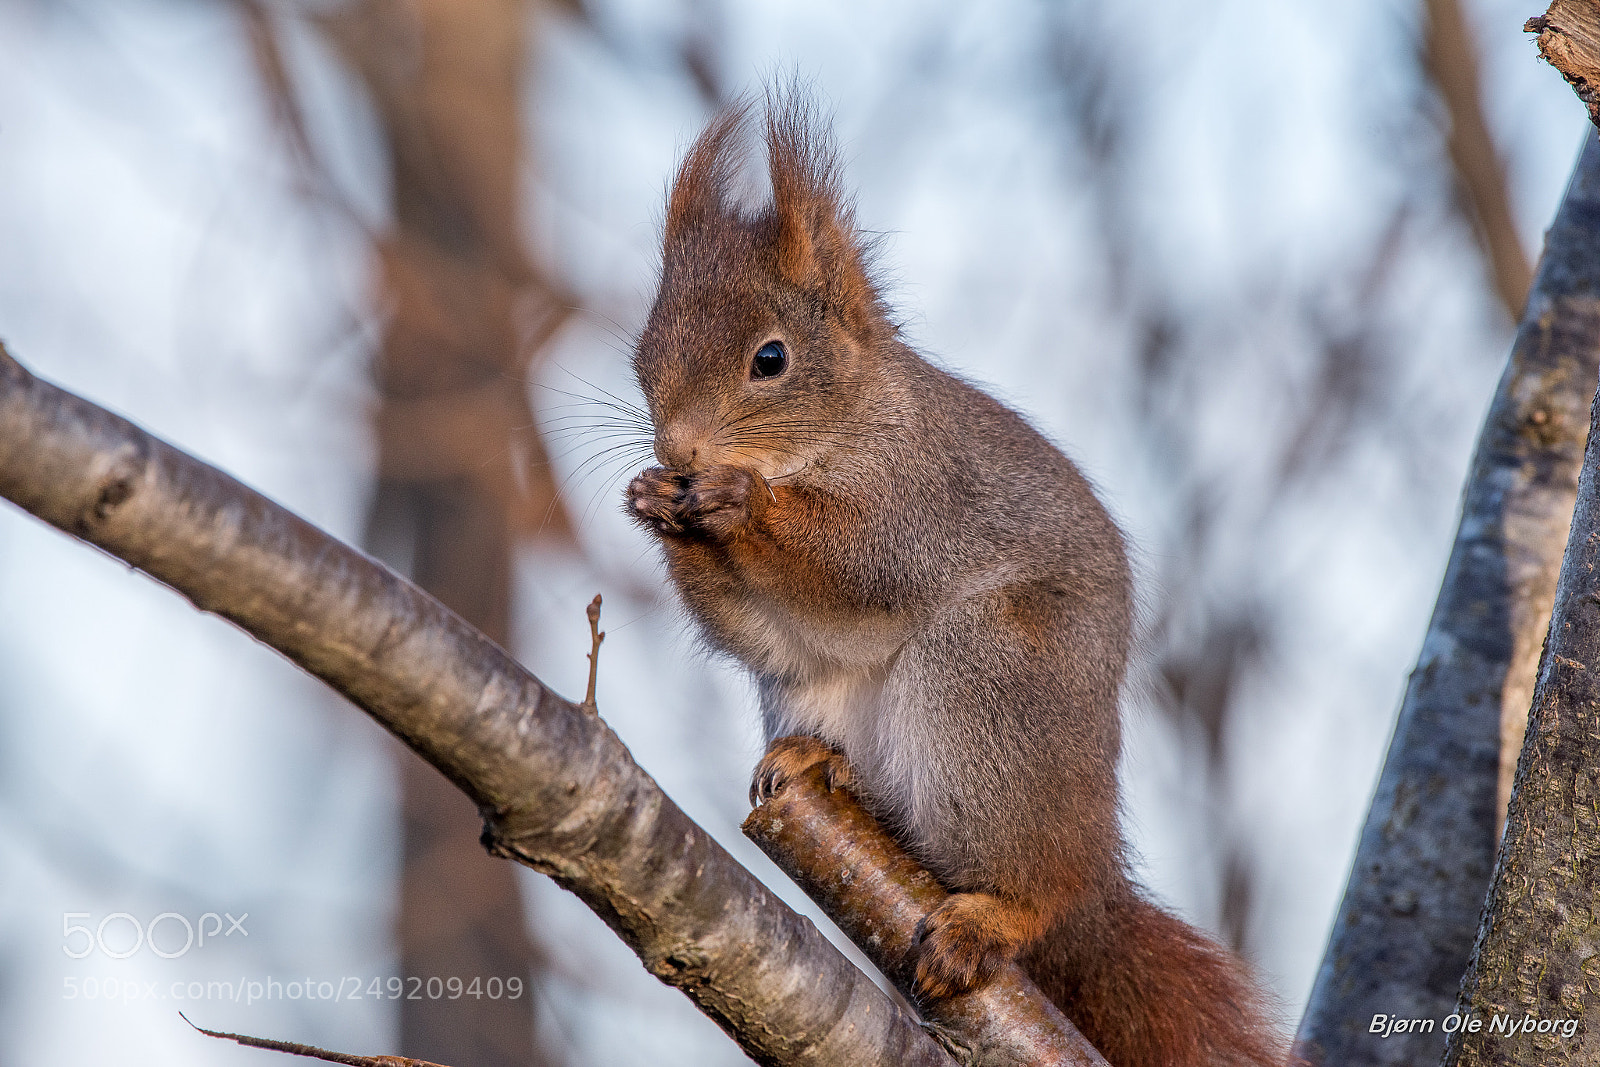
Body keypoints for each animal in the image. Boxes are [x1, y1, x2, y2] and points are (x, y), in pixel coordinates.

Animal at [624, 91, 1287, 1067]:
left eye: (770, 359)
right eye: (643, 354)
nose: (680, 452)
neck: (854, 420)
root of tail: (1092, 866)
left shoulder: (925, 499)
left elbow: (863, 564)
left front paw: (739, 501)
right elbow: (767, 627)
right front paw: (653, 506)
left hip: (991, 678)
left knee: (1036, 887)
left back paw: (997, 914)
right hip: (808, 696)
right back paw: (819, 762)